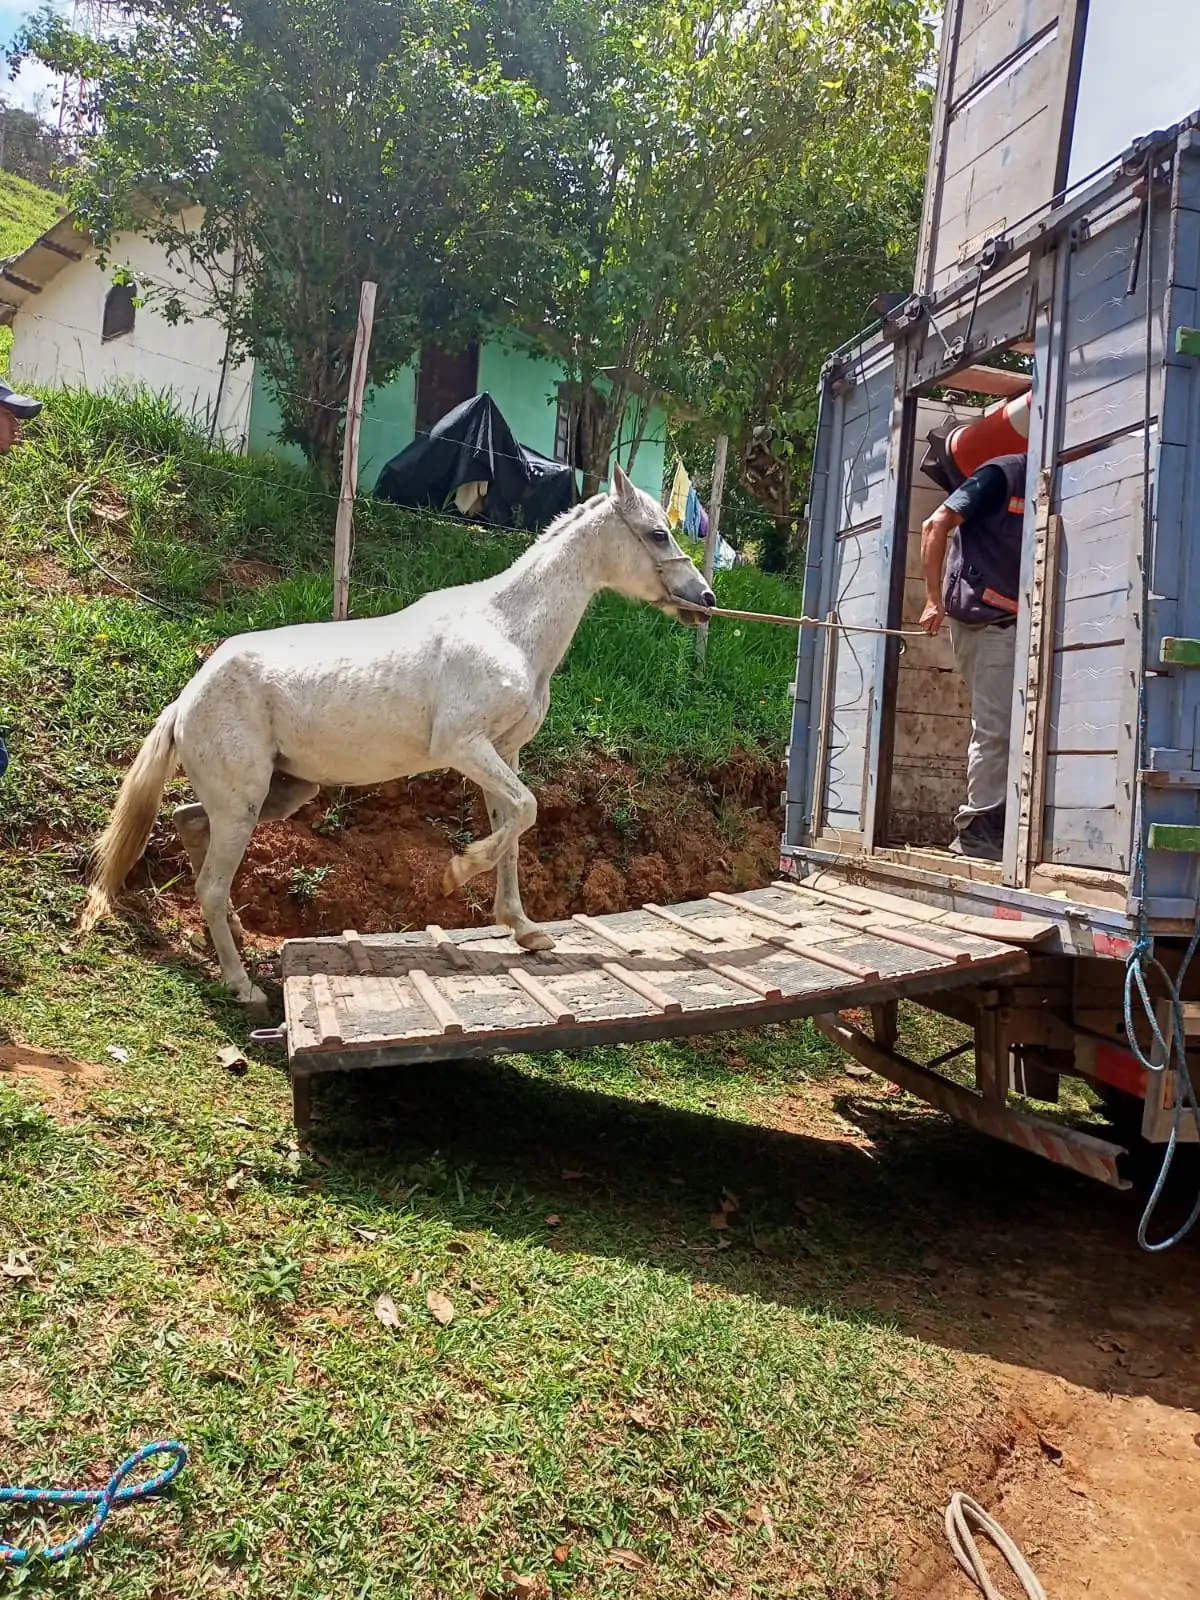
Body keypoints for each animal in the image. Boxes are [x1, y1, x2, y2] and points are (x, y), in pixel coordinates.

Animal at [82, 467, 713, 1004]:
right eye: (657, 534)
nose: (705, 600)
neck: (507, 630)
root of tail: (185, 700)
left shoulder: (503, 754)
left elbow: (513, 825)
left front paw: (524, 929)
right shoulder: (465, 747)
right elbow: (526, 812)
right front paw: (456, 873)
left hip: (278, 794)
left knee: (189, 823)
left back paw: (235, 933)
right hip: (244, 803)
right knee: (210, 884)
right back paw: (244, 988)